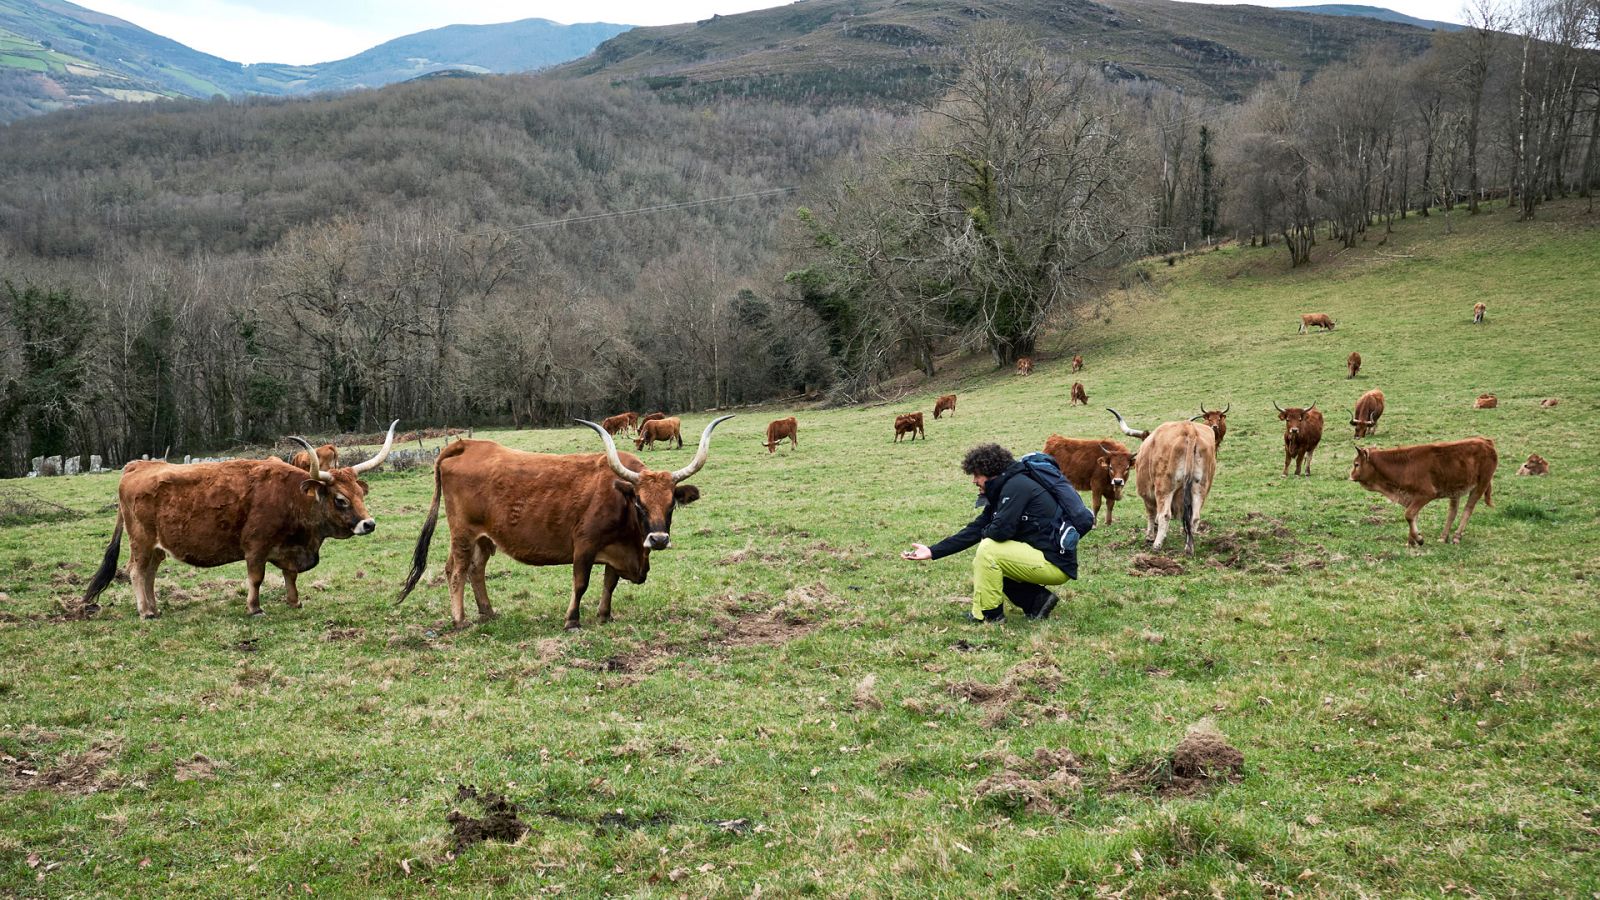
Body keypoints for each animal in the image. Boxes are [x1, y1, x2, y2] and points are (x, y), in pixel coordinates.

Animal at [81, 422, 398, 619]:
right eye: (340, 499)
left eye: (360, 492)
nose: (369, 524)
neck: (292, 497)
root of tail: (137, 465)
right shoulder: (256, 547)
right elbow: (256, 578)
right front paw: (254, 608)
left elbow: (290, 575)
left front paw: (294, 601)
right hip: (142, 541)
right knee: (136, 571)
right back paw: (145, 611)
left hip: (158, 546)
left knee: (150, 573)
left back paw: (155, 608)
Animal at [398, 416, 733, 629]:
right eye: (639, 503)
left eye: (671, 503)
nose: (659, 539)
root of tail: (466, 444)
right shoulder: (584, 545)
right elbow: (581, 583)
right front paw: (572, 620)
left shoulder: (616, 548)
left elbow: (609, 583)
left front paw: (605, 615)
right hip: (463, 534)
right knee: (456, 571)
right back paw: (460, 620)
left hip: (484, 537)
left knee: (475, 570)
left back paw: (488, 613)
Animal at [1109, 408, 1218, 555]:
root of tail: (1189, 429)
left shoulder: (1146, 491)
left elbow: (1151, 513)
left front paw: (1149, 536)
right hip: (1200, 486)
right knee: (1195, 517)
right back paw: (1189, 546)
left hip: (1164, 486)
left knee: (1165, 514)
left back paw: (1157, 545)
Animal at [1349, 438, 1496, 546]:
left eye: (1356, 464)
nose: (1350, 475)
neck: (1405, 465)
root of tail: (1486, 442)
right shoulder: (1412, 497)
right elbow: (1413, 516)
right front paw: (1411, 541)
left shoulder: (1426, 494)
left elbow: (1409, 515)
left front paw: (1418, 539)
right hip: (1455, 491)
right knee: (1452, 512)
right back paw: (1443, 537)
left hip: (1480, 485)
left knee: (1468, 509)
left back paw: (1456, 536)